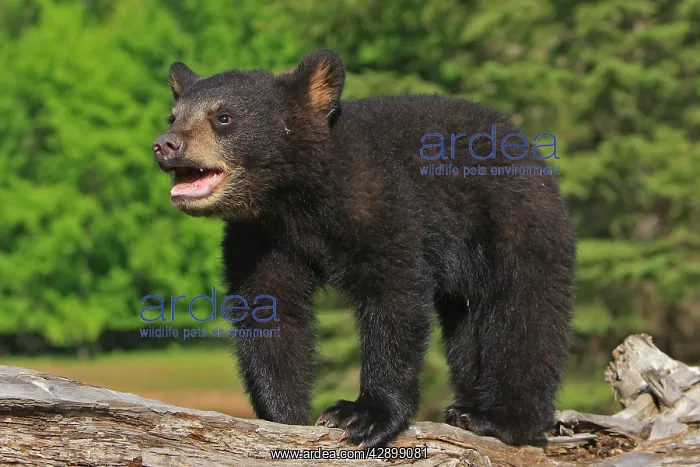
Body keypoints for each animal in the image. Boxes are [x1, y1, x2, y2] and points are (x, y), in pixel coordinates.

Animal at [152, 49, 576, 449]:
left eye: (224, 117)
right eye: (173, 115)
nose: (165, 144)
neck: (297, 198)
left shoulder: (379, 199)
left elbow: (393, 295)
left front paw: (362, 415)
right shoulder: (261, 238)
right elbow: (269, 308)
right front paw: (285, 416)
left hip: (514, 220)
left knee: (524, 311)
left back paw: (500, 418)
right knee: (468, 330)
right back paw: (468, 405)